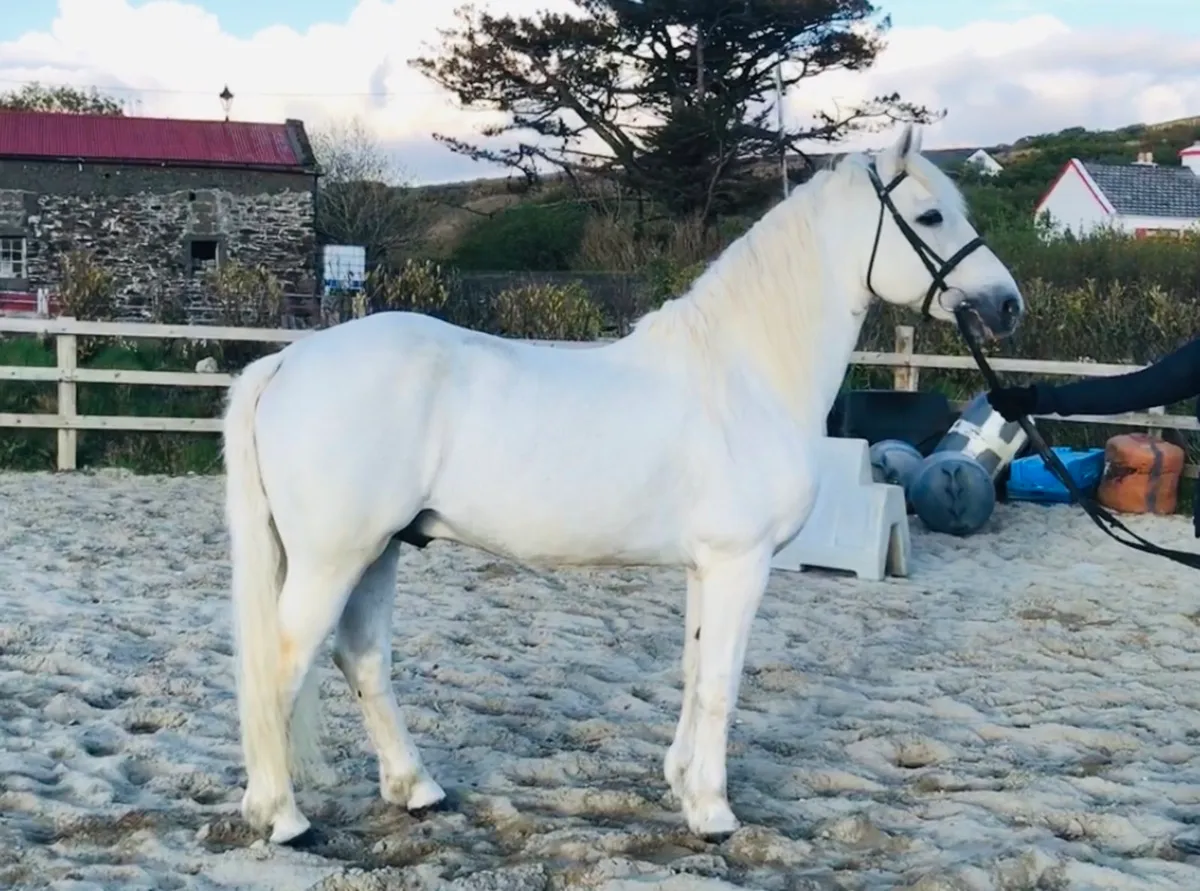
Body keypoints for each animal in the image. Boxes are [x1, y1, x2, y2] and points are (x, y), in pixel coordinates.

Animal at [223, 123, 1022, 845]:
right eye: (931, 216)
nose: (1007, 304)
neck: (745, 373)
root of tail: (288, 362)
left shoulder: (708, 566)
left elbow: (694, 669)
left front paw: (682, 784)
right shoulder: (740, 562)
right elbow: (721, 682)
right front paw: (714, 814)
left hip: (380, 549)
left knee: (361, 657)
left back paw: (416, 789)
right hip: (334, 558)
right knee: (283, 665)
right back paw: (283, 818)